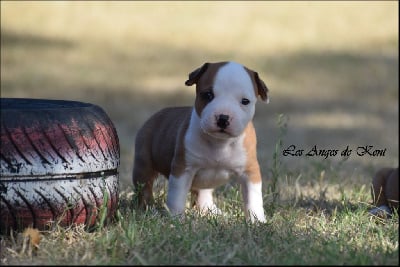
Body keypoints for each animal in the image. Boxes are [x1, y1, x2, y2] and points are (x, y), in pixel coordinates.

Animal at [134, 61, 268, 223]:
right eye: (208, 95)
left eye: (245, 101)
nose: (223, 118)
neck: (219, 143)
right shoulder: (182, 170)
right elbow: (177, 197)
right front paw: (175, 218)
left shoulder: (250, 172)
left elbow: (253, 199)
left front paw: (258, 221)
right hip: (143, 164)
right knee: (144, 187)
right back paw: (146, 208)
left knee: (203, 193)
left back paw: (212, 211)